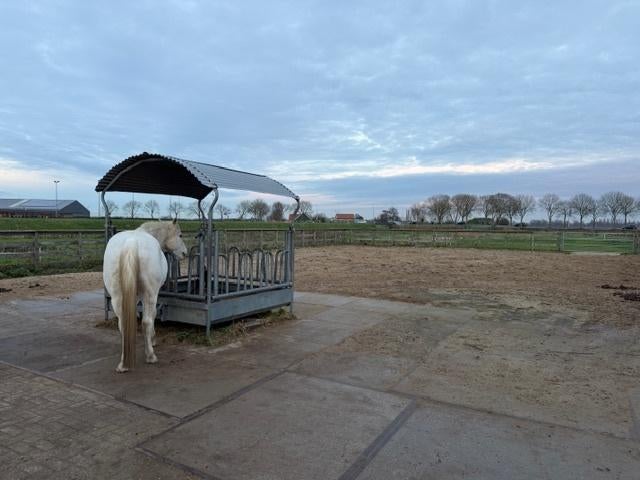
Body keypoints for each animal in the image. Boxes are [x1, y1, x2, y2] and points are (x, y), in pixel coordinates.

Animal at [103, 220, 187, 372]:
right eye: (180, 235)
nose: (184, 253)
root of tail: (131, 243)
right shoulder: (152, 294)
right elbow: (152, 317)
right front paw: (153, 340)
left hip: (117, 296)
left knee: (122, 324)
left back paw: (123, 364)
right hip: (150, 294)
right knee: (147, 321)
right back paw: (150, 356)